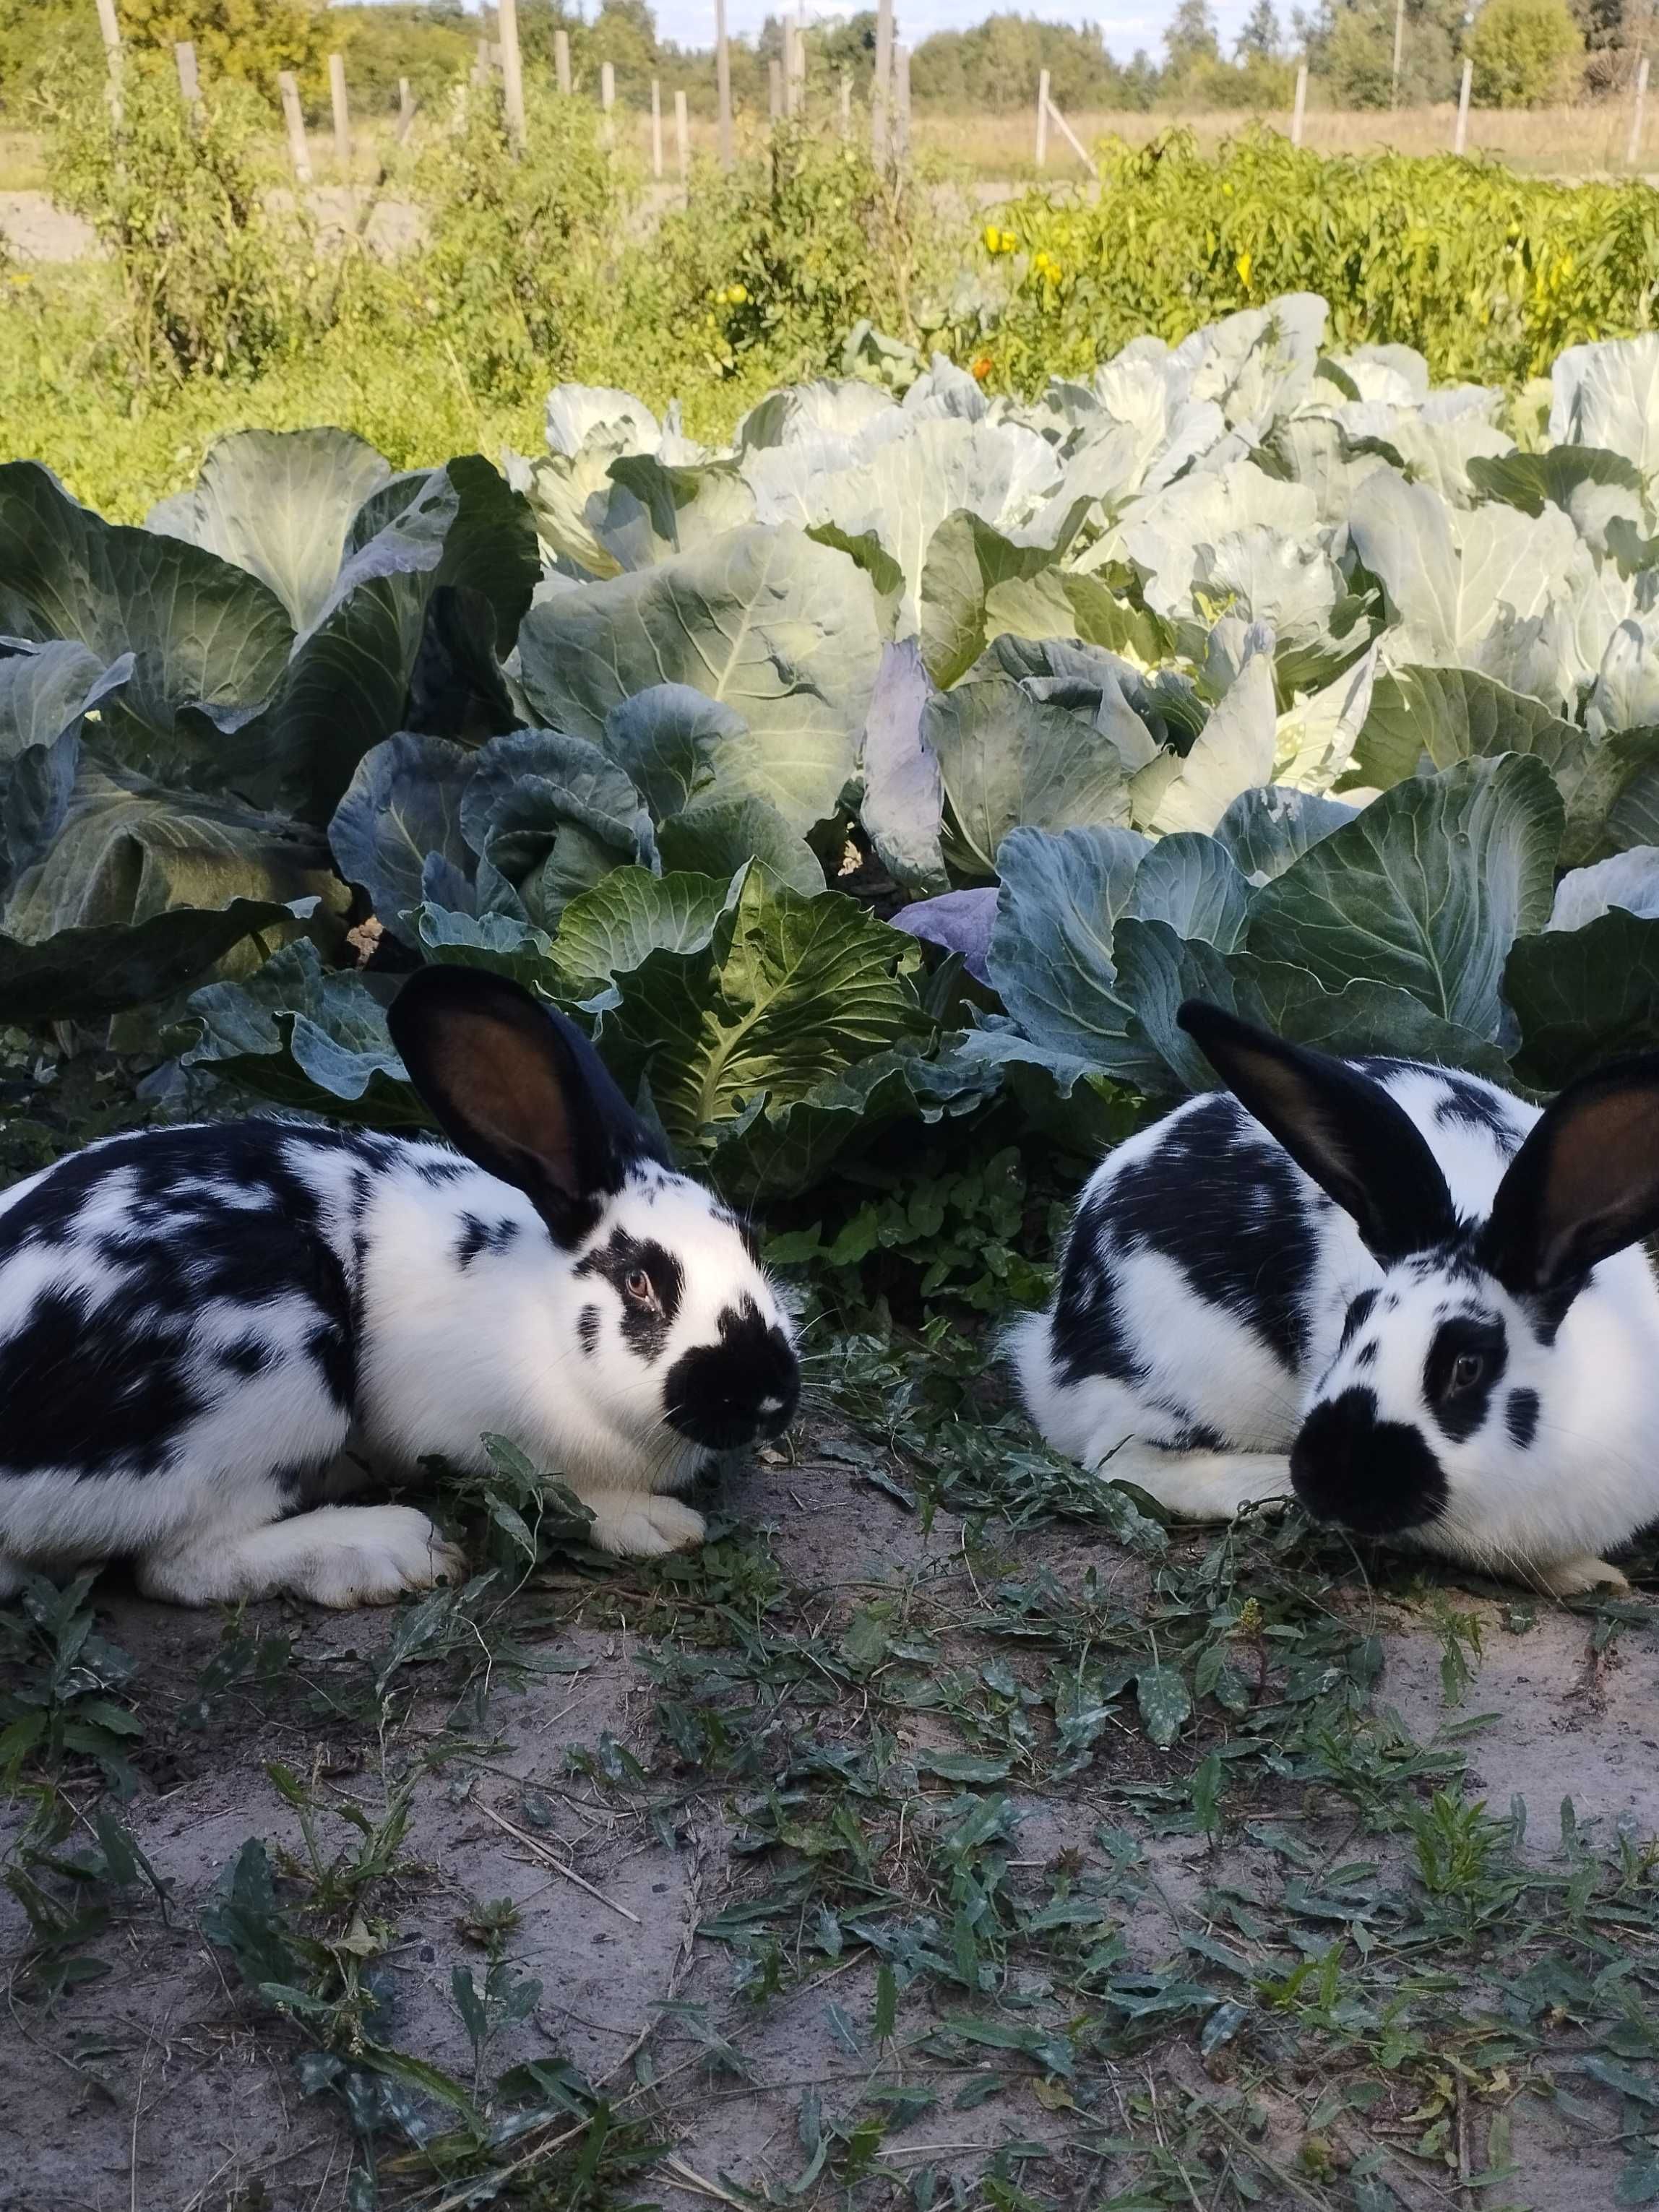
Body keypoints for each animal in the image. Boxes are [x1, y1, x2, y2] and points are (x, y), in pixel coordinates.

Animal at [0, 969, 801, 1610]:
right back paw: (392, 1548)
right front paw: (655, 1524)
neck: (535, 1312)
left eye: (752, 1239)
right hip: (276, 1382)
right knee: (179, 1564)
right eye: (640, 1280)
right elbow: (563, 1489)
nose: (768, 1399)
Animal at [1013, 1004, 1659, 1592]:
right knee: (1125, 1461)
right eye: (1353, 1321)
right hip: (1194, 1373)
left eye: (1467, 1366)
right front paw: (1589, 1576)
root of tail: (1053, 1345)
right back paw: (1268, 1486)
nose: (1330, 1479)